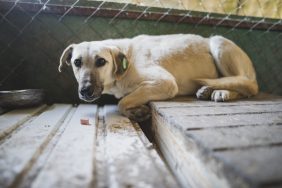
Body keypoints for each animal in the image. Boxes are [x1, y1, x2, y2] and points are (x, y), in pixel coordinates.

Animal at [58, 34, 258, 122]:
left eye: (101, 61)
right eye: (77, 62)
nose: (85, 90)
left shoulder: (166, 83)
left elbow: (122, 103)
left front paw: (135, 112)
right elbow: (125, 100)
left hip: (218, 42)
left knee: (246, 85)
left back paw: (222, 91)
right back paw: (207, 90)